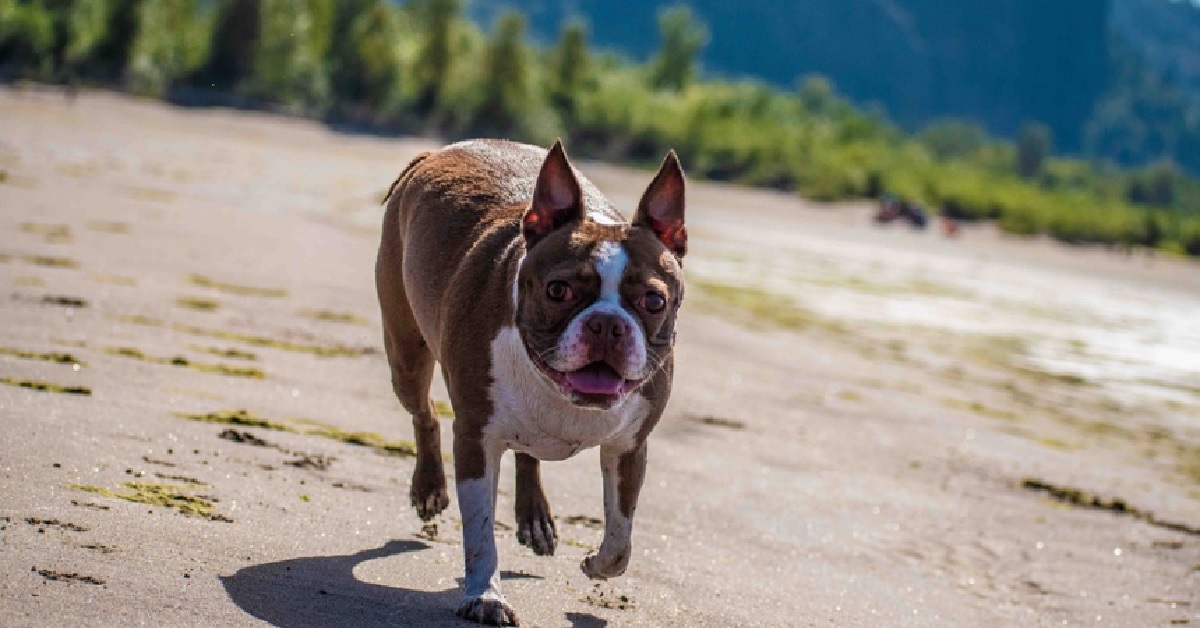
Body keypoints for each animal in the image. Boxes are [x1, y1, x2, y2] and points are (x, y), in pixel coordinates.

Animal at [379, 137, 691, 624]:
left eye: (653, 301)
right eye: (558, 290)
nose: (607, 324)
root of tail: (434, 153)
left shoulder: (629, 447)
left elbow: (620, 540)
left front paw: (596, 565)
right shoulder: (475, 438)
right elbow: (480, 533)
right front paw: (485, 595)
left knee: (527, 452)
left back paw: (534, 517)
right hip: (405, 352)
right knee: (424, 413)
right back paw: (429, 487)